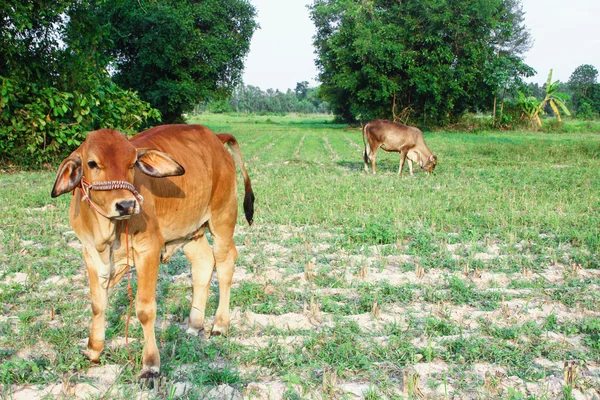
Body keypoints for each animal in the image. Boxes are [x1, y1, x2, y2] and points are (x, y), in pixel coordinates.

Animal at [50, 125, 254, 378]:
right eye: (92, 163)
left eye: (132, 164)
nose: (126, 205)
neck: (106, 231)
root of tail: (216, 137)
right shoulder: (89, 252)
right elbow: (98, 304)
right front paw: (93, 350)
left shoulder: (148, 249)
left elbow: (145, 310)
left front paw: (150, 365)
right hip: (192, 231)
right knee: (204, 264)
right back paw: (194, 324)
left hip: (223, 217)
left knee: (225, 265)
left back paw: (220, 324)